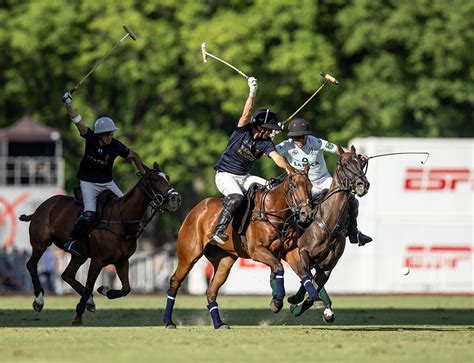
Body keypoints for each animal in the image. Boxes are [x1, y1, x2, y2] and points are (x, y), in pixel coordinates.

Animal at [20, 164, 181, 326]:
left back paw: (90, 302)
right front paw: (78, 316)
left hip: (80, 255)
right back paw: (39, 300)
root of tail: (41, 207)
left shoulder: (122, 261)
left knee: (67, 274)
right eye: (154, 179)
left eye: (167, 177)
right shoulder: (97, 261)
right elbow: (89, 286)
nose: (175, 198)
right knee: (31, 265)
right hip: (41, 243)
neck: (123, 221)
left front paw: (104, 290)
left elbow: (126, 288)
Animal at [163, 166, 314, 332]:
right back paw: (168, 321)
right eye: (294, 186)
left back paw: (219, 324)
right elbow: (279, 267)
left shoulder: (290, 251)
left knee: (211, 291)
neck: (275, 213)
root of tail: (194, 210)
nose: (307, 214)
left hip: (224, 262)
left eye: (310, 186)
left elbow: (304, 274)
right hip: (189, 256)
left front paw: (310, 298)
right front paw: (277, 302)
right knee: (175, 282)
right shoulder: (256, 251)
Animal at [286, 146, 370, 322]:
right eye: (345, 164)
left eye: (361, 162)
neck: (329, 223)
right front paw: (295, 300)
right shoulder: (302, 253)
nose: (363, 185)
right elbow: (308, 278)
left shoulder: (328, 265)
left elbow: (314, 288)